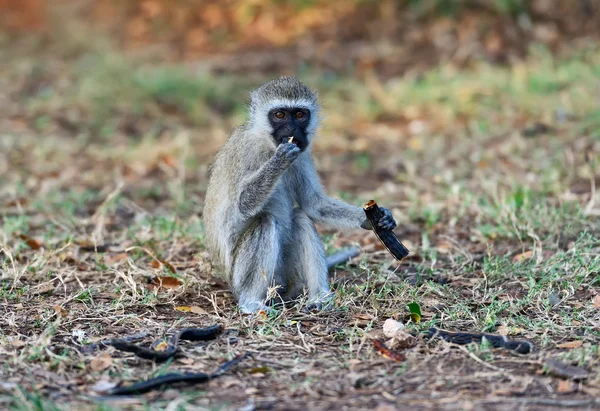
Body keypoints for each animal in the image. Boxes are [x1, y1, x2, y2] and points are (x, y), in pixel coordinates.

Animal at [204, 77, 396, 314]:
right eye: (279, 115)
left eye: (299, 114)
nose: (292, 129)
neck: (267, 144)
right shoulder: (245, 151)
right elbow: (243, 204)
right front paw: (280, 160)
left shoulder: (303, 155)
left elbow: (314, 205)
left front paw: (373, 219)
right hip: (239, 278)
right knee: (266, 221)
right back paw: (250, 302)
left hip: (286, 276)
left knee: (301, 218)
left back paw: (320, 297)